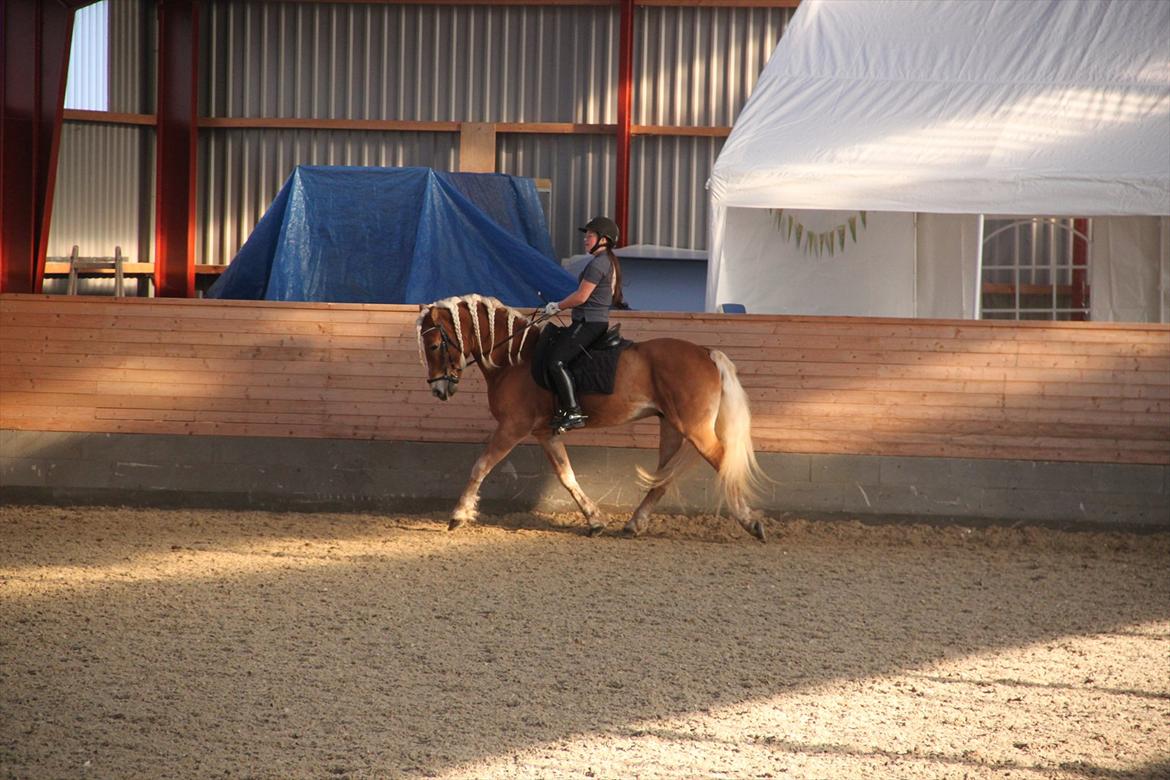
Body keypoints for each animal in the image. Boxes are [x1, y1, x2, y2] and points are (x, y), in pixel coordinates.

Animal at [416, 294, 772, 542]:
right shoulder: (546, 432)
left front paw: (458, 515)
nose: (438, 389)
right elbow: (567, 476)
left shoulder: (513, 427)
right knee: (664, 476)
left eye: (433, 345)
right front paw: (595, 520)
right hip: (673, 426)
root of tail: (705, 352)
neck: (515, 358)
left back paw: (751, 522)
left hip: (695, 428)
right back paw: (633, 524)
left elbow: (480, 466)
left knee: (722, 462)